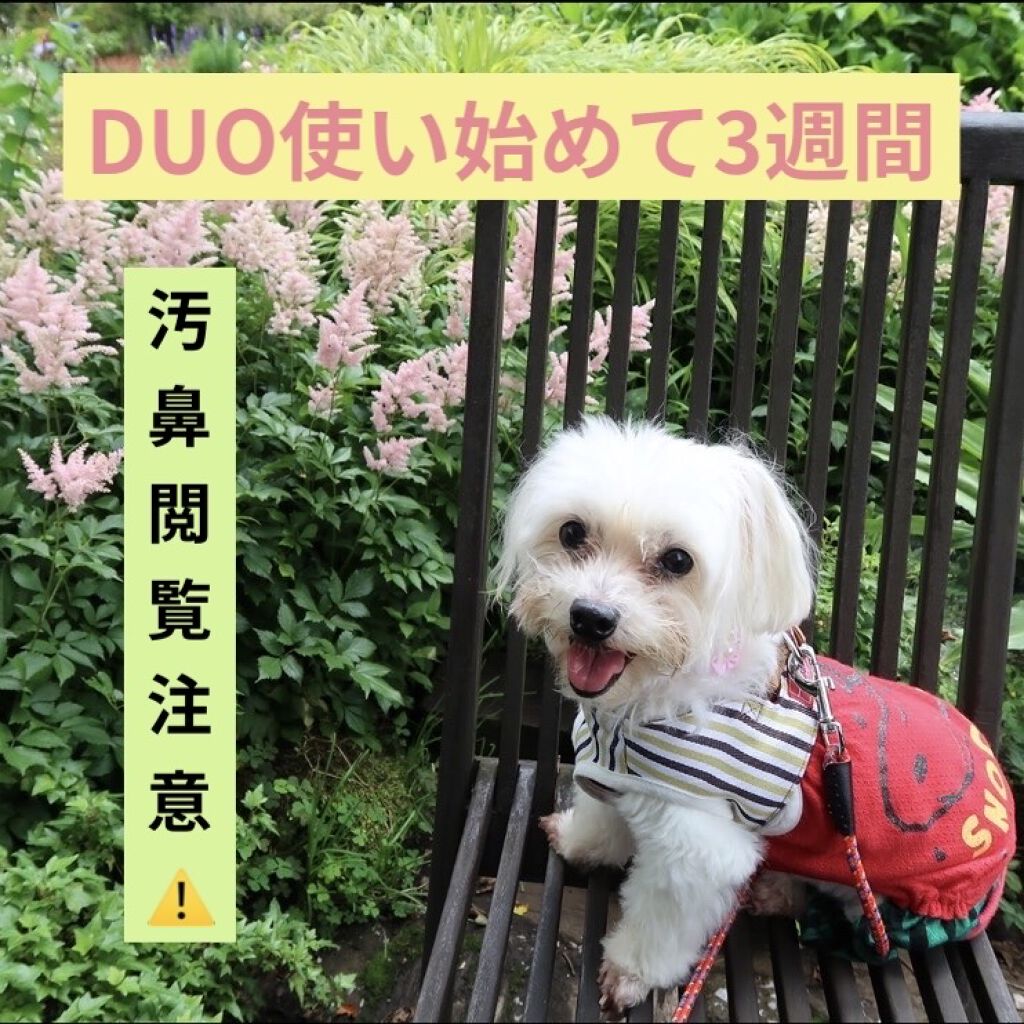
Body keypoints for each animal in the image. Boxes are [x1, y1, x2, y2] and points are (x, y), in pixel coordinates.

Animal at [496, 416, 1015, 1012]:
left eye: (678, 561)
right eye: (572, 532)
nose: (591, 617)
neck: (642, 707)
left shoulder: (699, 847)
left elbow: (664, 921)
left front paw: (629, 974)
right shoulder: (615, 776)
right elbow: (603, 819)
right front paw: (580, 841)